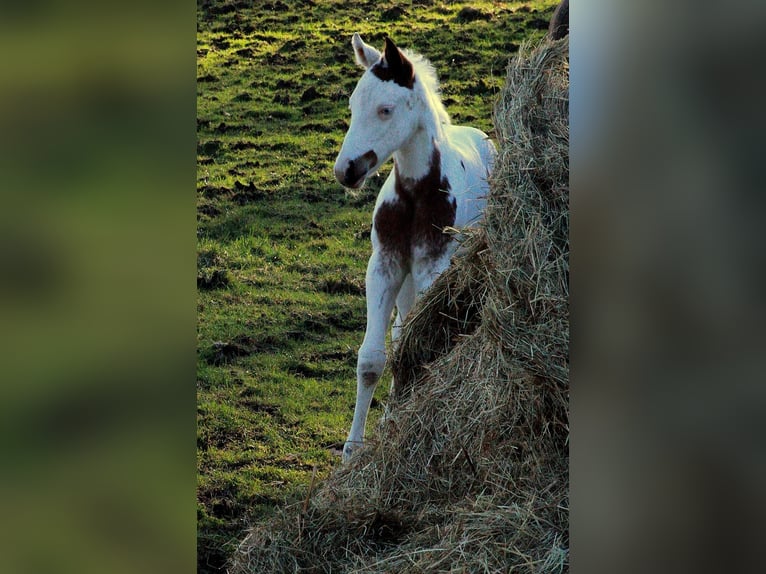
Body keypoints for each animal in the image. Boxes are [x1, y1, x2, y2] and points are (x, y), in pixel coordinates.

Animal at [336, 33, 498, 462]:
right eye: (353, 106)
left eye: (385, 110)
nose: (346, 171)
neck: (413, 195)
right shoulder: (385, 265)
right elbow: (372, 358)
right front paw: (352, 451)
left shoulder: (432, 268)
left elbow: (413, 348)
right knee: (397, 332)